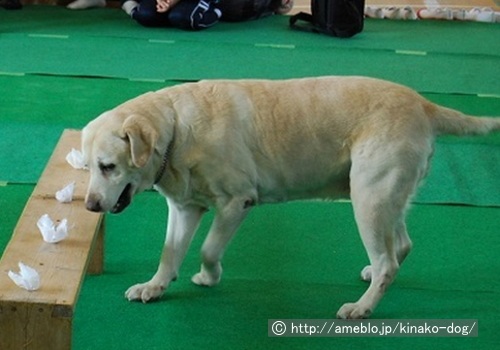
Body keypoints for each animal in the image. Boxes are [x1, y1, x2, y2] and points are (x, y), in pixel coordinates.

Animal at [82, 76, 500, 320]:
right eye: (86, 167)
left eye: (108, 166)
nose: (89, 206)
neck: (175, 128)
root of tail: (424, 104)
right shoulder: (185, 207)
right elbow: (169, 253)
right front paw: (154, 286)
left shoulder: (236, 202)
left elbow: (208, 249)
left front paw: (209, 276)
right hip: (385, 197)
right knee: (401, 245)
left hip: (368, 196)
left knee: (388, 263)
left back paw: (362, 306)